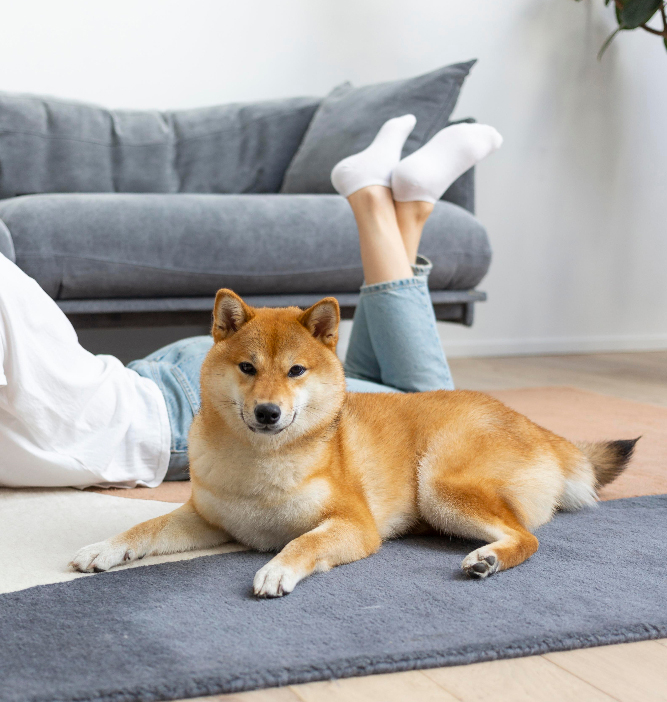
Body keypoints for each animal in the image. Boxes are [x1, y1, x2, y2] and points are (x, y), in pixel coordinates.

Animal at [70, 288, 640, 596]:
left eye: (296, 371)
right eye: (248, 368)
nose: (268, 411)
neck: (259, 467)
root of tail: (535, 425)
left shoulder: (353, 523)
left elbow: (303, 541)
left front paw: (278, 568)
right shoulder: (208, 518)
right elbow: (144, 528)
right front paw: (103, 548)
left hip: (440, 485)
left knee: (527, 537)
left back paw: (489, 559)